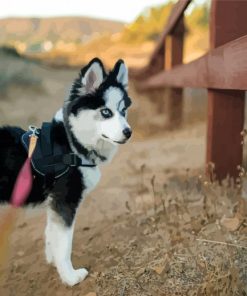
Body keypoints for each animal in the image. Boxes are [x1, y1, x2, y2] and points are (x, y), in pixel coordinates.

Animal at [0, 58, 131, 286]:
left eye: (123, 111)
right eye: (106, 112)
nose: (128, 132)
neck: (72, 143)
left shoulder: (55, 202)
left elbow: (52, 234)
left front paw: (54, 262)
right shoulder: (65, 201)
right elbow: (64, 244)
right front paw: (70, 277)